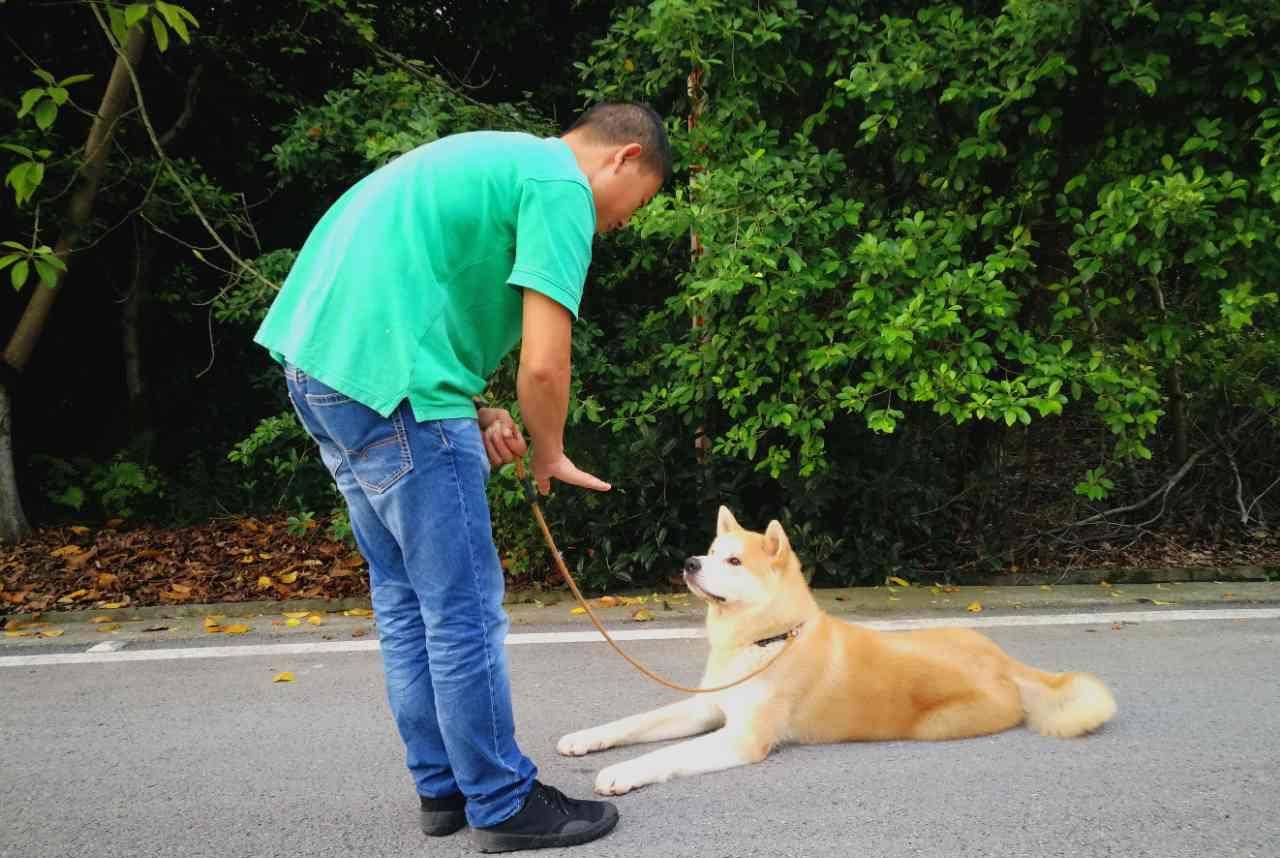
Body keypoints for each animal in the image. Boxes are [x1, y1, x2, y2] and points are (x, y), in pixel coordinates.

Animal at [555, 507, 1116, 799]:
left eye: (733, 561)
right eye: (711, 552)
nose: (690, 563)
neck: (765, 641)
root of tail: (1005, 663)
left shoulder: (741, 737)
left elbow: (664, 754)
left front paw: (623, 772)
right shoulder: (707, 706)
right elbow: (634, 723)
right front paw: (586, 739)